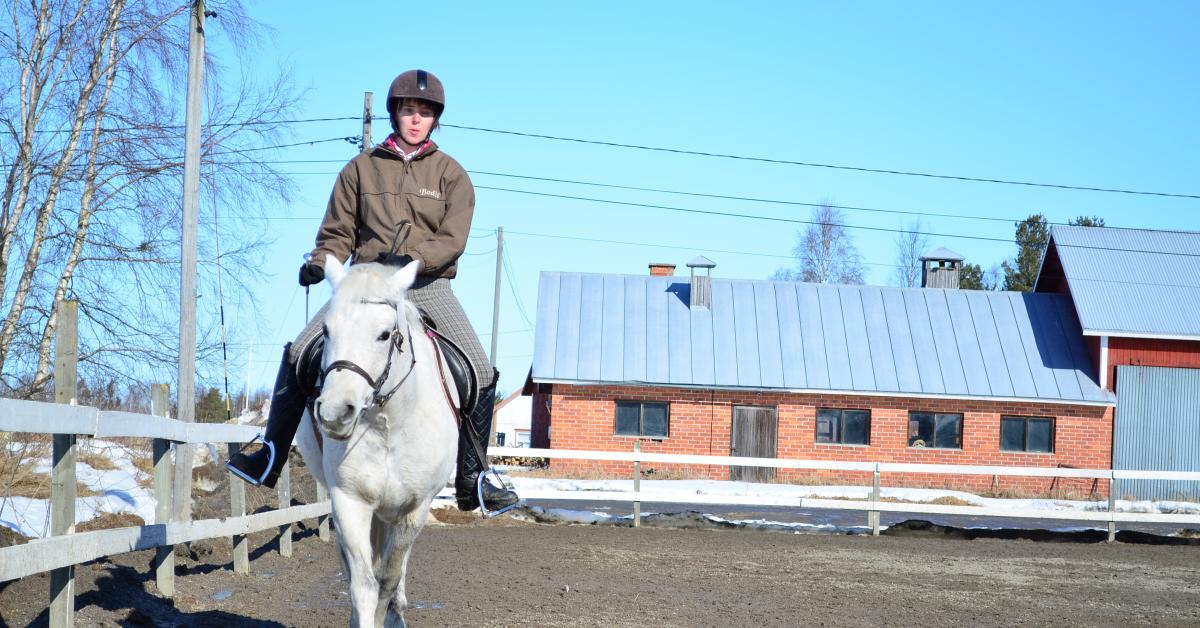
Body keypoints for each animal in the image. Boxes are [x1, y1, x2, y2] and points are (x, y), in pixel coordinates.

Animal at [294, 255, 458, 628]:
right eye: (326, 330)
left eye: (384, 335)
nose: (335, 412)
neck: (388, 425)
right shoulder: (349, 501)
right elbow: (364, 586)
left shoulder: (414, 509)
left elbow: (388, 579)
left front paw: (393, 610)